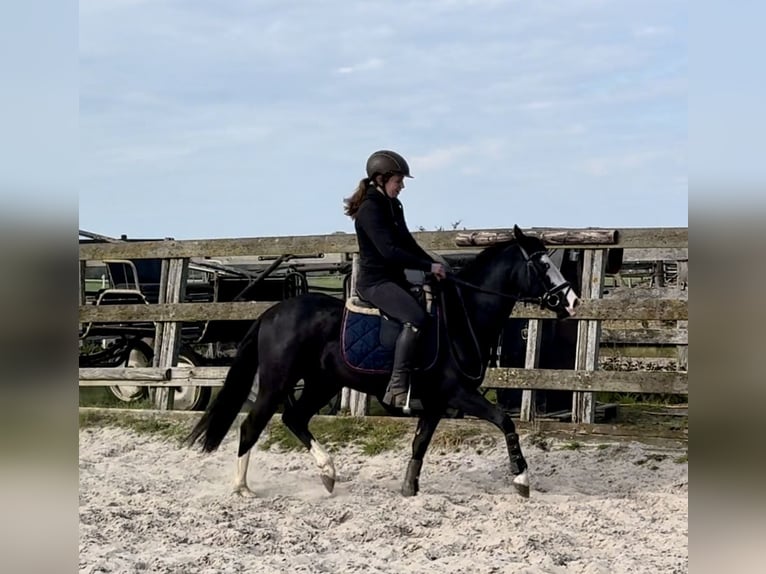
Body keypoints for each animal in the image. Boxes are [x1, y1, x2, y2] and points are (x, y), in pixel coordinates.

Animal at [185, 225, 580, 498]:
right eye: (542, 263)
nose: (572, 301)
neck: (462, 315)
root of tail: (271, 313)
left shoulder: (436, 401)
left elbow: (420, 442)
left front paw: (410, 489)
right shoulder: (458, 394)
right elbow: (505, 421)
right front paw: (521, 479)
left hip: (322, 382)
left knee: (293, 418)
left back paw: (327, 473)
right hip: (277, 382)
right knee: (252, 426)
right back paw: (242, 488)